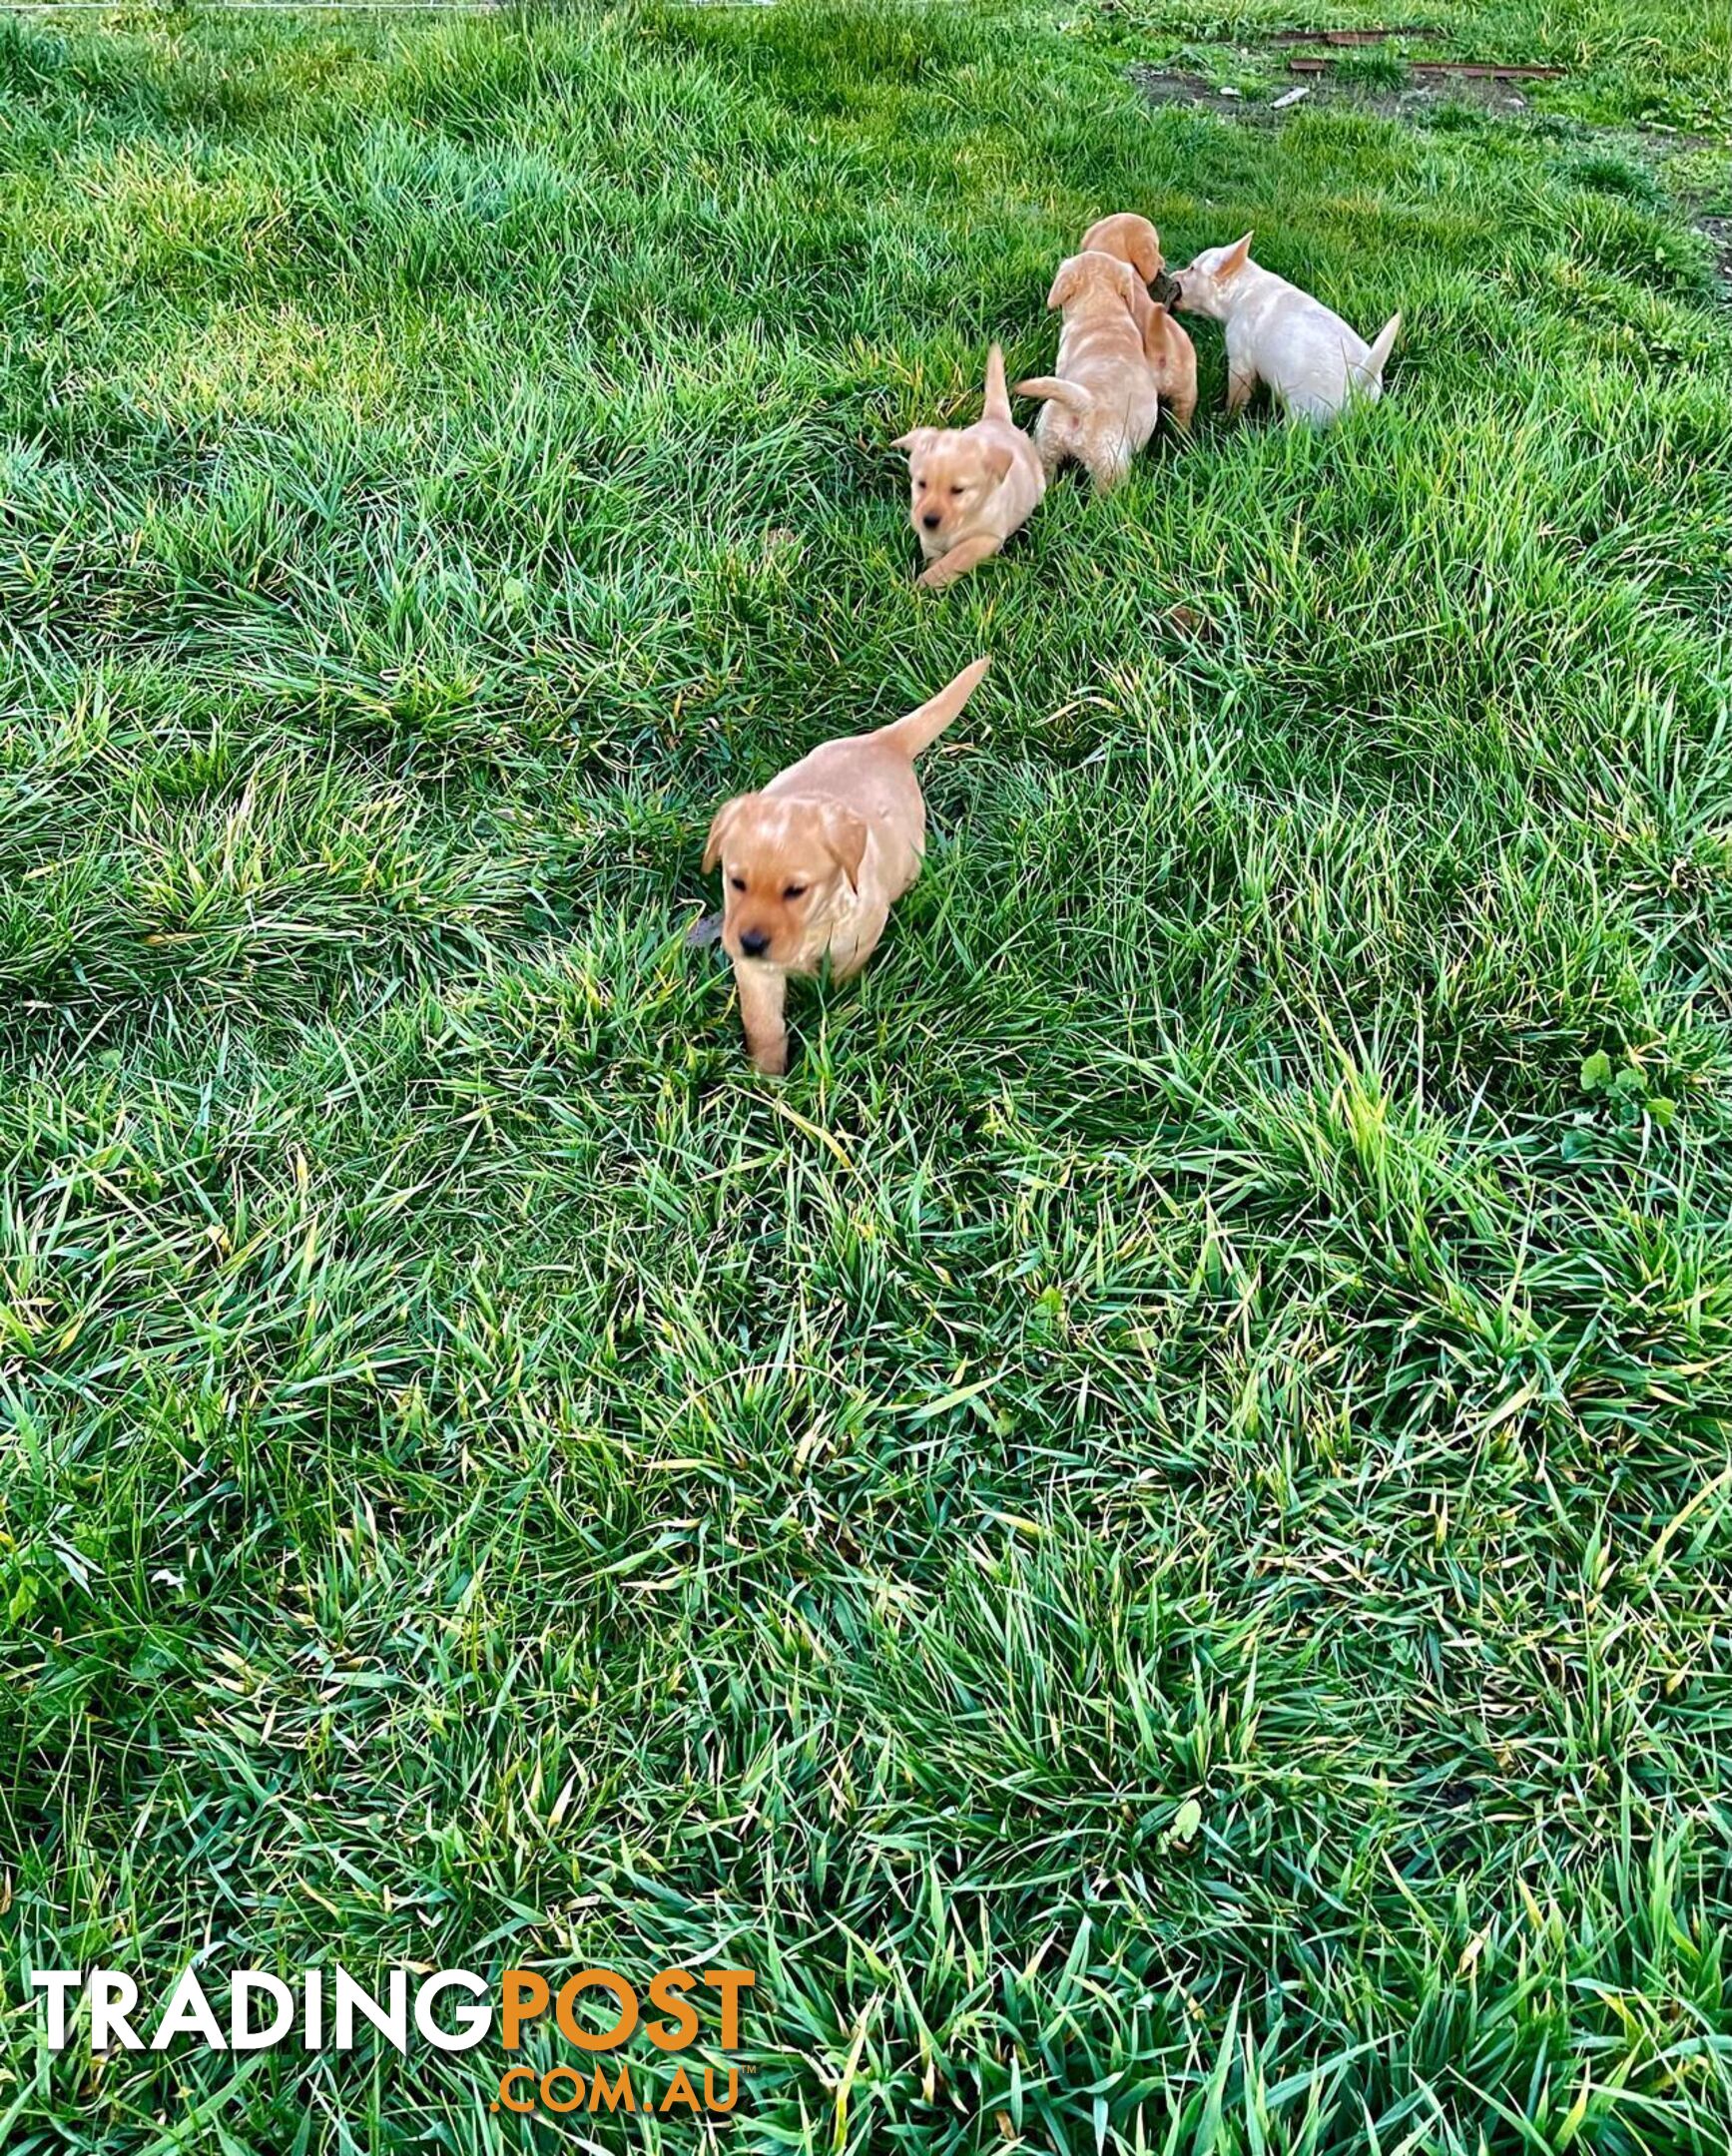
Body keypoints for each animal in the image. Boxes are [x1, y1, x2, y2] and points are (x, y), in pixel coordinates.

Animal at [694, 647, 987, 1069]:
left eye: (795, 891)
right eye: (737, 882)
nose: (750, 942)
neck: (813, 924)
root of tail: (887, 741)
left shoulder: (862, 936)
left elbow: (840, 979)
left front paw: (832, 1003)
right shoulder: (756, 971)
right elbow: (764, 1025)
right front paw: (766, 1076)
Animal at [892, 348, 1043, 595]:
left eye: (958, 490)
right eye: (921, 484)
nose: (929, 520)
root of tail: (995, 419)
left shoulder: (987, 538)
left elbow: (956, 557)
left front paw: (924, 585)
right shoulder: (929, 538)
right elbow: (935, 556)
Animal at [1173, 234, 1406, 426]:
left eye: (1192, 268)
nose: (1173, 275)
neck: (1243, 288)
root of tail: (1359, 379)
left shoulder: (1240, 363)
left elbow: (1236, 399)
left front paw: (1224, 418)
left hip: (1303, 413)